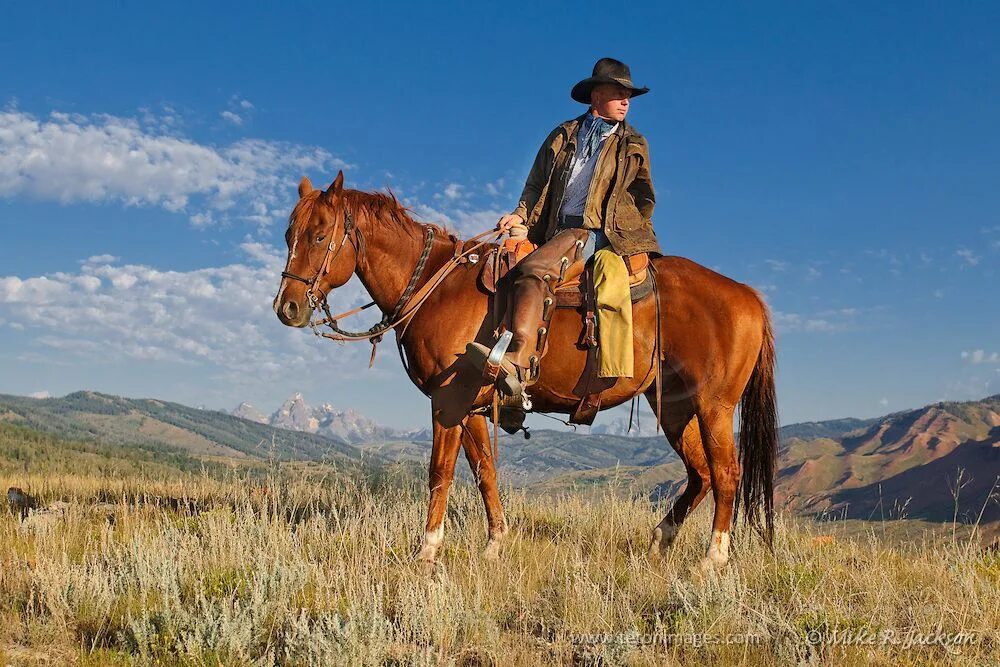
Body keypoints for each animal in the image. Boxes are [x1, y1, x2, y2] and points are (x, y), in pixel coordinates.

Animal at [276, 171, 780, 568]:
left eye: (320, 235)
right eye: (288, 236)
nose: (288, 308)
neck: (437, 288)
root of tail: (749, 297)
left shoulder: (447, 402)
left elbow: (440, 472)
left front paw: (427, 551)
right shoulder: (473, 409)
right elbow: (485, 471)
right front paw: (495, 544)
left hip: (714, 406)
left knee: (726, 473)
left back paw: (712, 559)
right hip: (675, 409)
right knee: (700, 474)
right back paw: (660, 540)